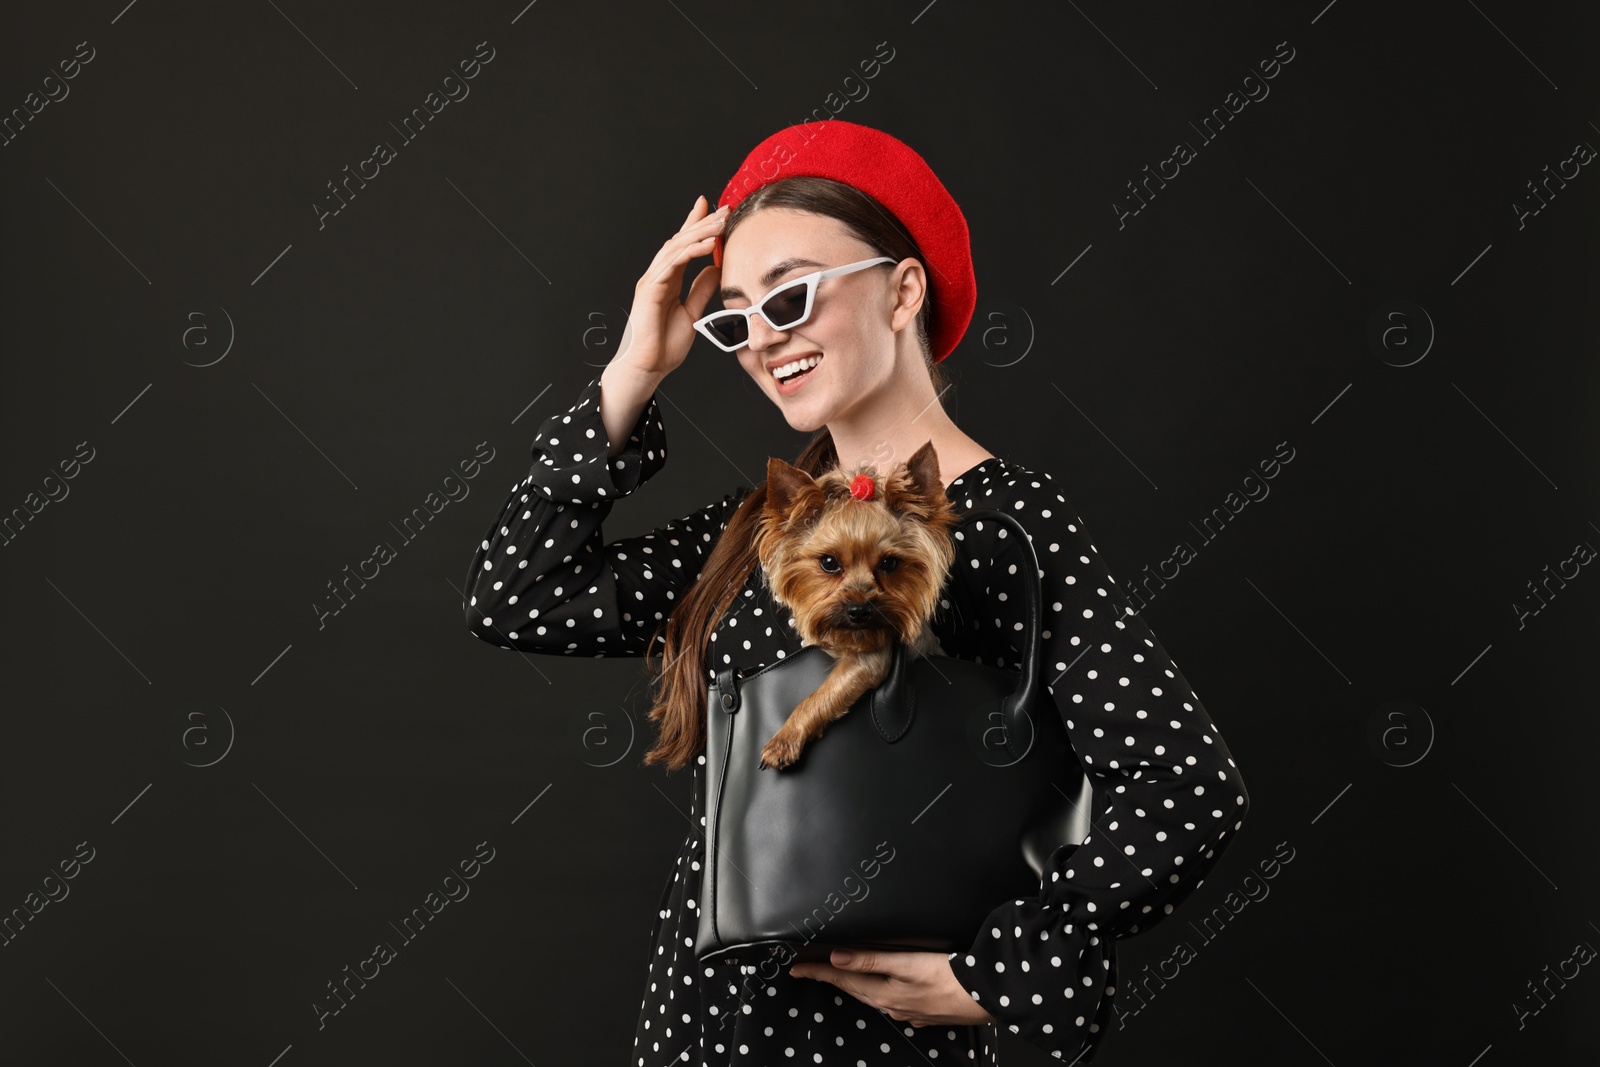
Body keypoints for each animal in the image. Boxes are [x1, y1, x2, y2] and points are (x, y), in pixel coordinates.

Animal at [752, 438, 960, 771]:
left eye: (889, 563)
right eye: (828, 563)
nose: (859, 610)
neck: (847, 639)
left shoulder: (870, 661)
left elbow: (820, 695)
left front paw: (784, 740)